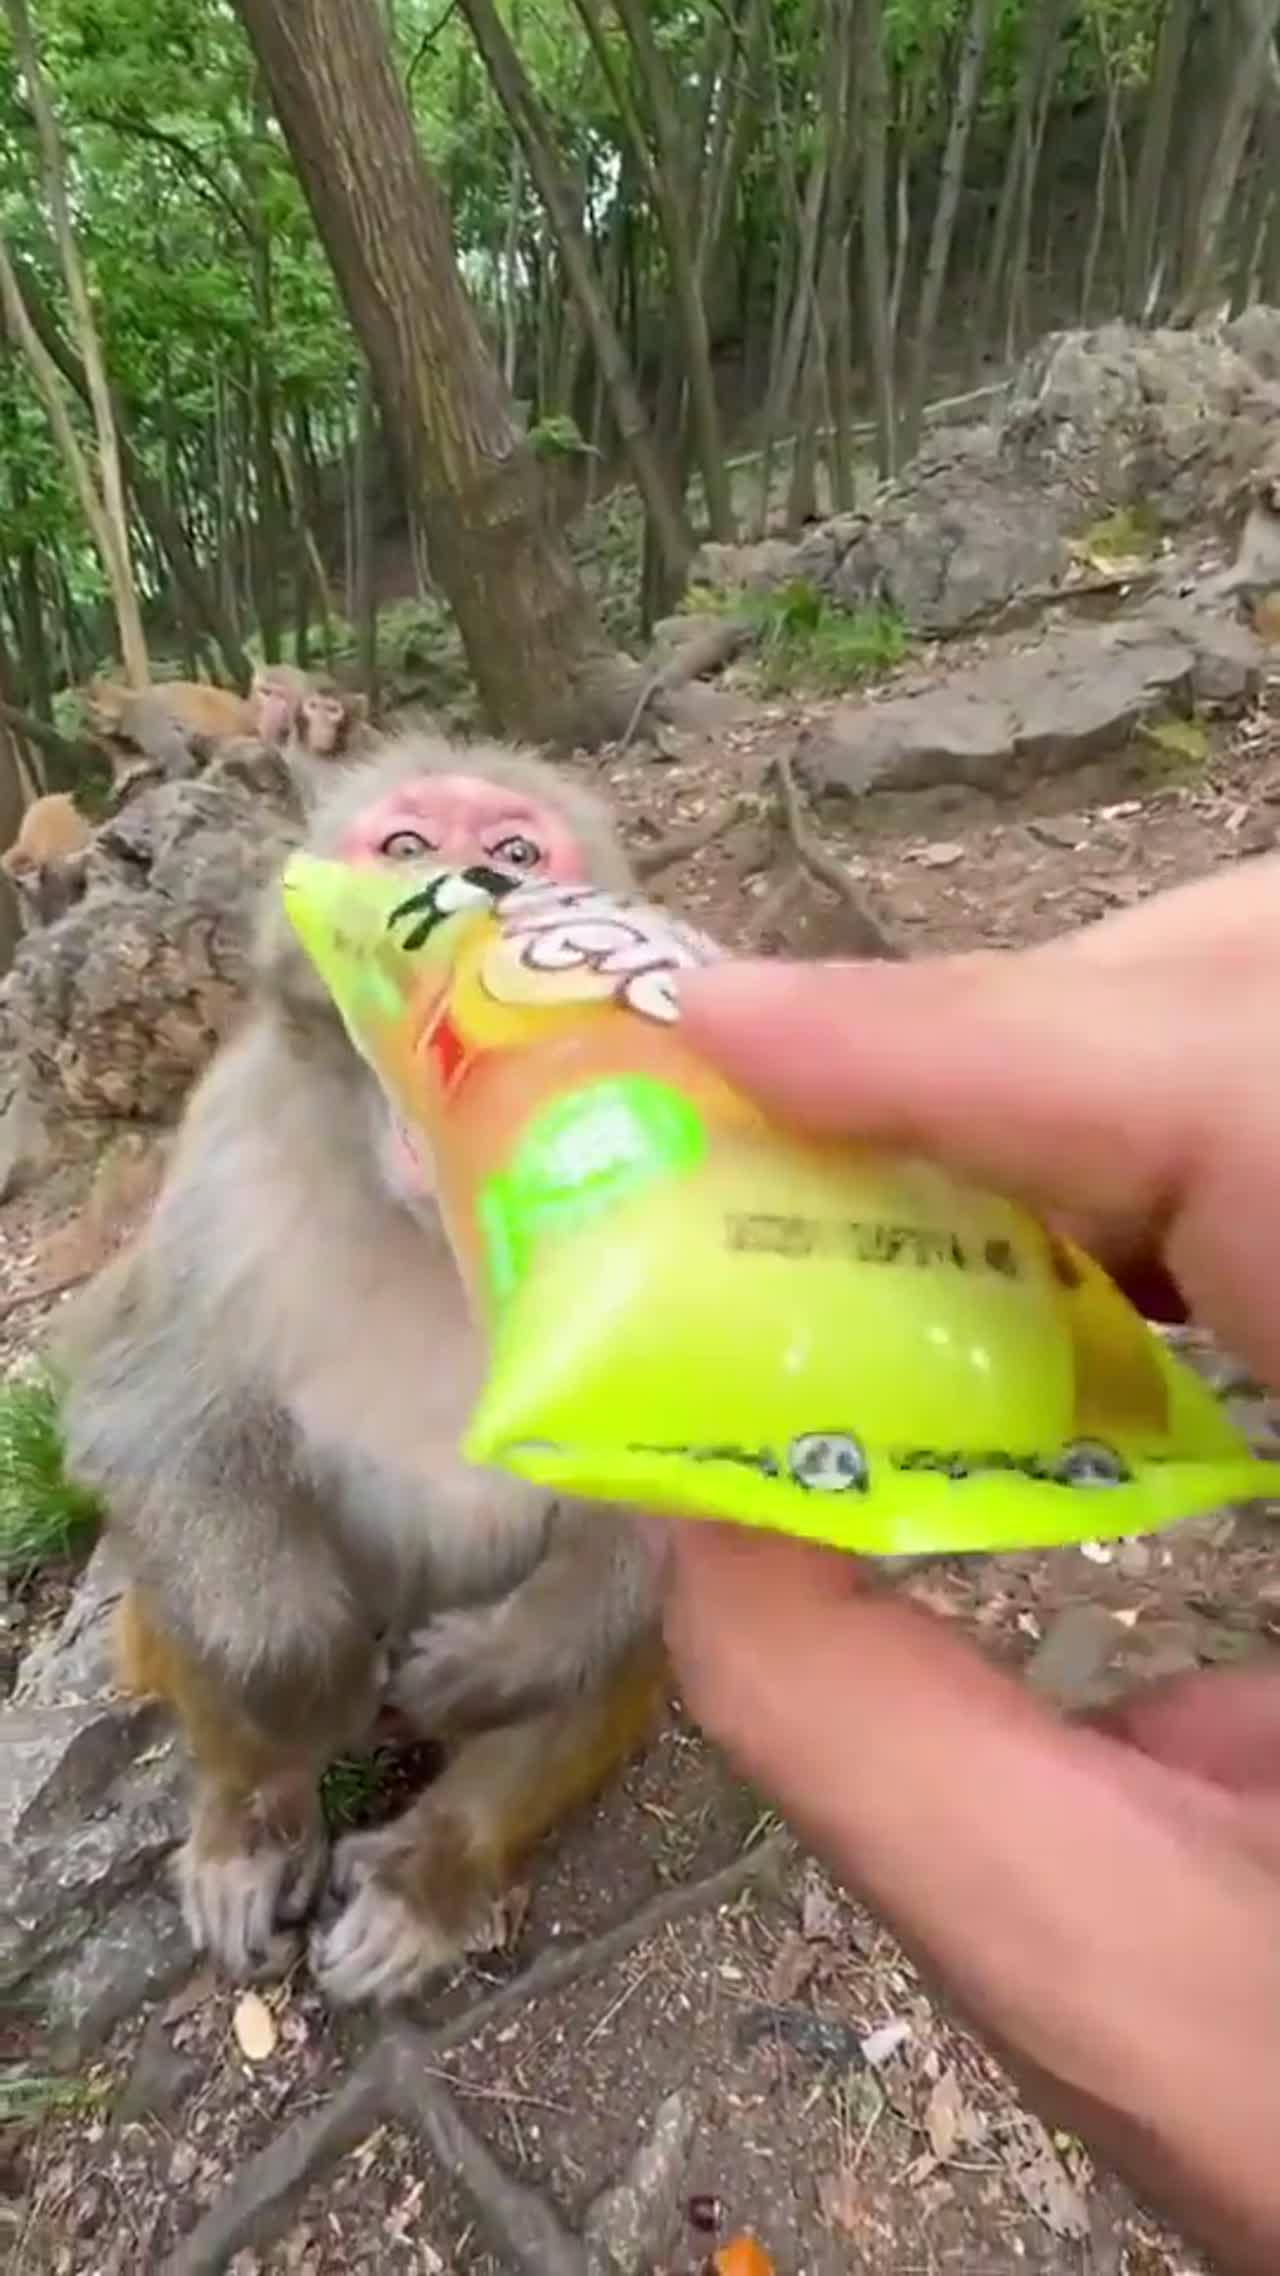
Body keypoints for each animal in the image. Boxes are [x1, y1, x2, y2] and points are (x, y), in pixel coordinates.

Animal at [56, 736, 664, 2008]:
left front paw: (498, 1663)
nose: (478, 883)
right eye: (406, 845)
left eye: (518, 848)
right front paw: (297, 1683)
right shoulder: (222, 1152)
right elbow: (147, 1401)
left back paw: (429, 1870)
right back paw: (254, 1822)